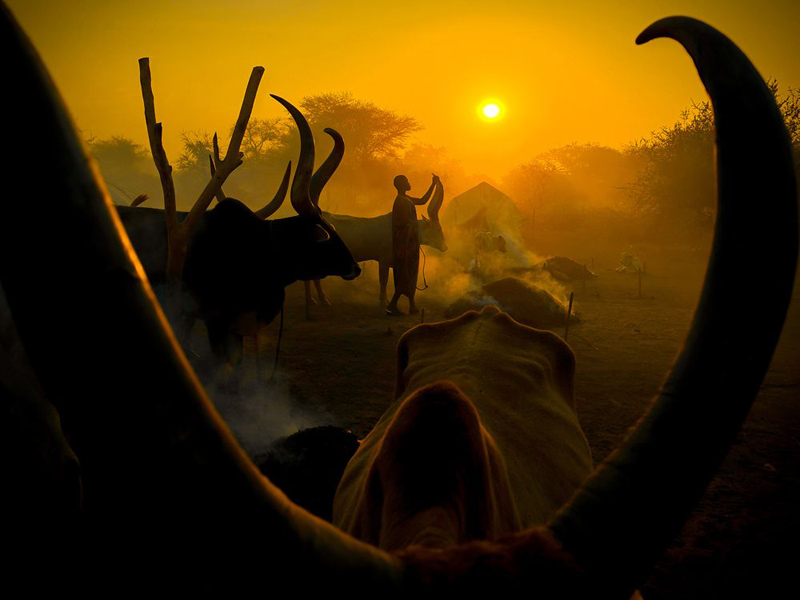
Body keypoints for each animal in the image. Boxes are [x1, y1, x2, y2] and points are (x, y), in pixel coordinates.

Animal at [304, 178, 446, 311]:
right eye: (437, 229)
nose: (445, 247)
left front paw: (386, 300)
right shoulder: (383, 260)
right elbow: (383, 281)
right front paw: (383, 302)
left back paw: (312, 300)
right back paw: (322, 300)